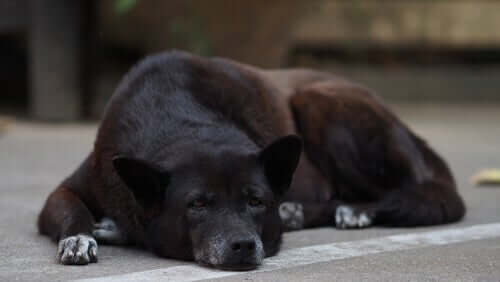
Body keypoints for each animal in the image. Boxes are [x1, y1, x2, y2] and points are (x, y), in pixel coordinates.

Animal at [38, 50, 464, 268]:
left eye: (256, 201)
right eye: (196, 205)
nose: (243, 246)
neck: (181, 117)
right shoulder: (65, 191)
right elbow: (73, 211)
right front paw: (81, 238)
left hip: (320, 102)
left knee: (416, 191)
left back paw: (353, 211)